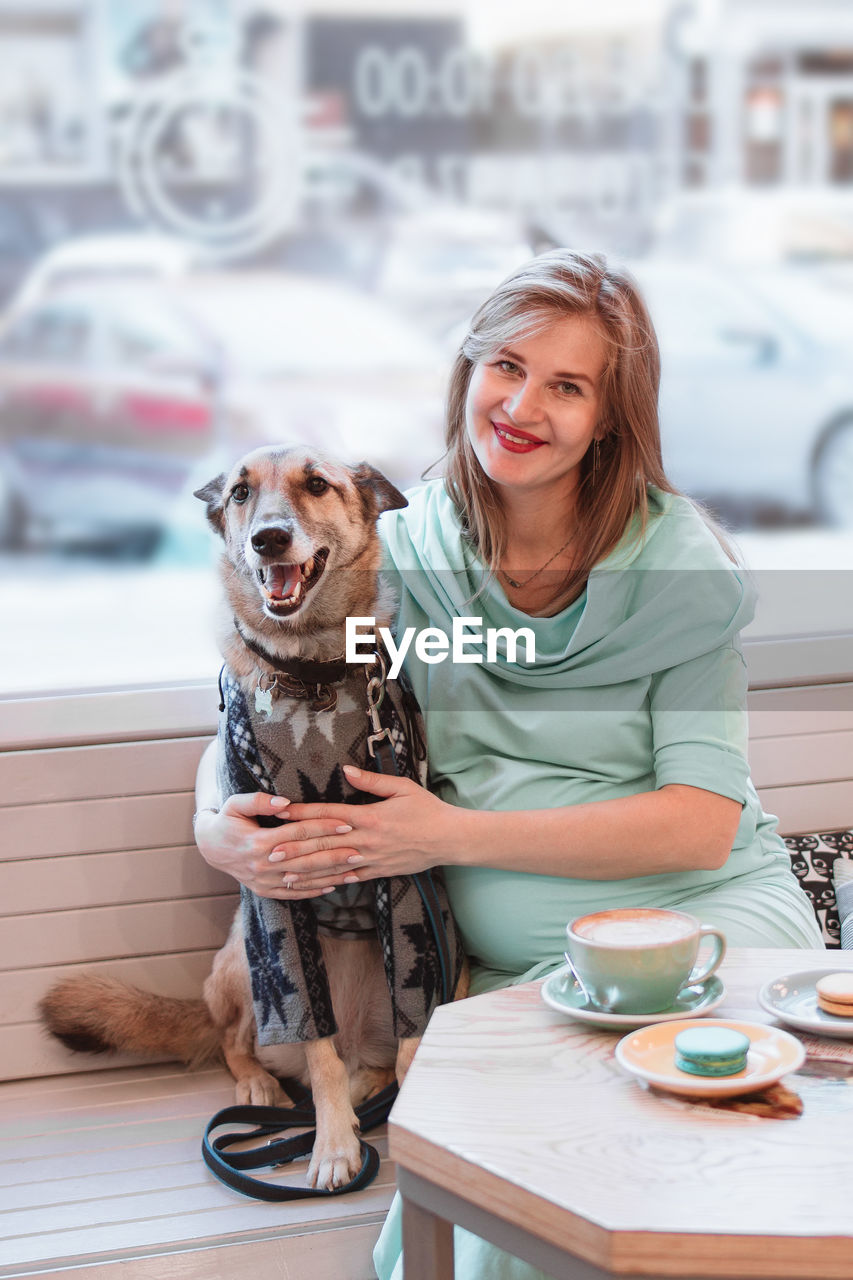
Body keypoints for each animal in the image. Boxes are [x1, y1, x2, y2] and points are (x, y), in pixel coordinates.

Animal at [41, 445, 466, 1192]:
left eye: (317, 483)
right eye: (240, 494)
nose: (268, 538)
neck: (314, 681)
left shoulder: (412, 905)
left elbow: (415, 1040)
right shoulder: (276, 904)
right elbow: (315, 1048)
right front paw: (333, 1146)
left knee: (372, 1060)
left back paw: (365, 1088)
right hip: (245, 955)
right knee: (241, 1043)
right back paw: (269, 1089)